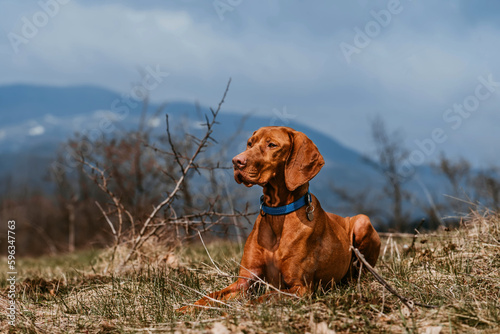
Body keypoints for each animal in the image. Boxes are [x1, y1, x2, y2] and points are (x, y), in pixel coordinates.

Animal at [178, 126, 380, 312]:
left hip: (362, 220)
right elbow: (210, 296)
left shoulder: (299, 288)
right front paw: (185, 309)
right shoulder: (245, 281)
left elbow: (261, 299)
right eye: (250, 143)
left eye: (272, 145)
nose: (236, 161)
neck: (278, 215)